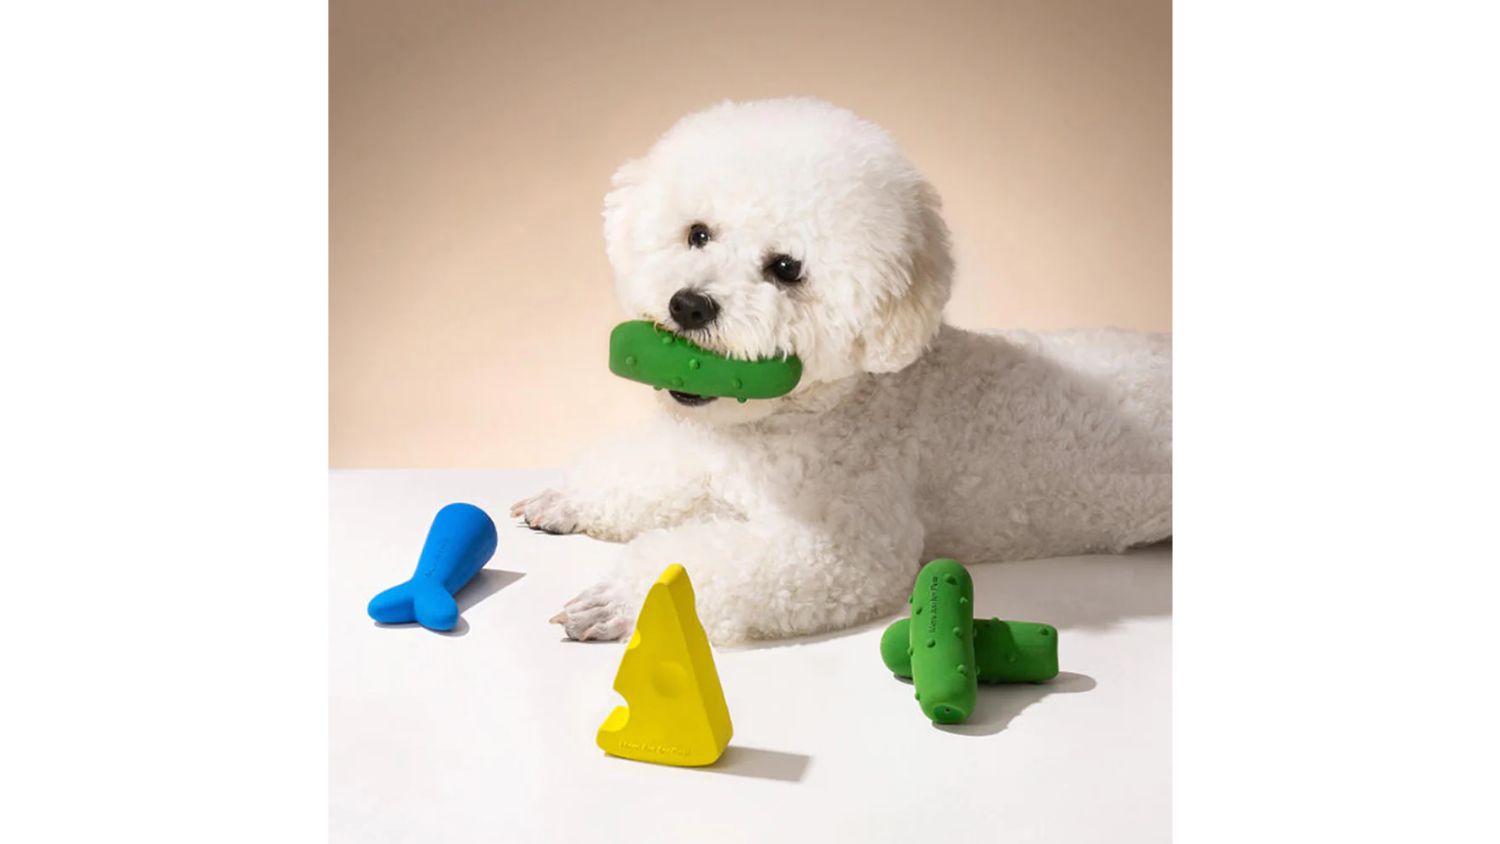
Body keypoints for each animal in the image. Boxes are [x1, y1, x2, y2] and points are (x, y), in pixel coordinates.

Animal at [513, 97, 1171, 644]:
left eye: (785, 268)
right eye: (698, 234)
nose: (689, 305)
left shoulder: (845, 547)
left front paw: (627, 600)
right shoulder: (709, 457)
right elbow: (650, 472)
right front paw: (568, 500)